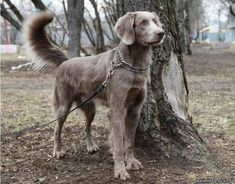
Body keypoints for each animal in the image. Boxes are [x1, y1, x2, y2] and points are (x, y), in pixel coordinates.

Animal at [23, 11, 163, 180]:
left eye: (155, 21)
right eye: (143, 23)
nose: (161, 33)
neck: (132, 66)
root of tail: (65, 61)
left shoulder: (135, 110)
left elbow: (130, 142)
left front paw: (131, 162)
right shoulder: (117, 110)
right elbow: (119, 145)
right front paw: (120, 170)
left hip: (90, 108)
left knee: (86, 127)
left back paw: (90, 146)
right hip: (63, 106)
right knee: (57, 129)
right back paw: (58, 151)